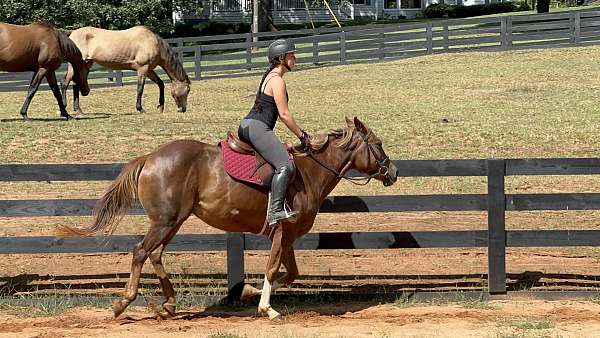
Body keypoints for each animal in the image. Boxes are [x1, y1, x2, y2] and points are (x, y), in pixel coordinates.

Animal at [59, 25, 191, 115]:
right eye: (188, 90)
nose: (183, 109)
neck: (152, 42)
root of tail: (72, 34)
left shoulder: (149, 70)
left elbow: (160, 84)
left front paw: (160, 106)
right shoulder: (143, 69)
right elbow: (140, 89)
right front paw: (140, 108)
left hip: (84, 65)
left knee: (76, 85)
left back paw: (78, 110)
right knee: (65, 83)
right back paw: (64, 108)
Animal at [67, 118, 398, 320]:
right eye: (378, 143)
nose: (393, 172)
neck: (309, 172)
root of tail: (150, 157)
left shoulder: (288, 235)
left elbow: (291, 272)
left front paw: (247, 292)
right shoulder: (282, 230)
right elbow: (273, 268)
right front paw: (266, 309)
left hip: (173, 221)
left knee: (155, 254)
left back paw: (169, 304)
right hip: (165, 221)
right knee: (140, 252)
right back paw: (123, 302)